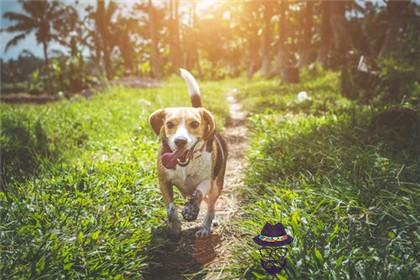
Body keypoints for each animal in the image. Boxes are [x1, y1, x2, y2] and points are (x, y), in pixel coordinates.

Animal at [149, 69, 228, 237]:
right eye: (169, 124)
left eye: (195, 124)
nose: (180, 141)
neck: (187, 164)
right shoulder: (163, 181)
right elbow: (171, 208)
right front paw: (175, 226)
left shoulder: (208, 180)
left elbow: (198, 192)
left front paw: (191, 210)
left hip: (217, 186)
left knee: (210, 207)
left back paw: (205, 227)